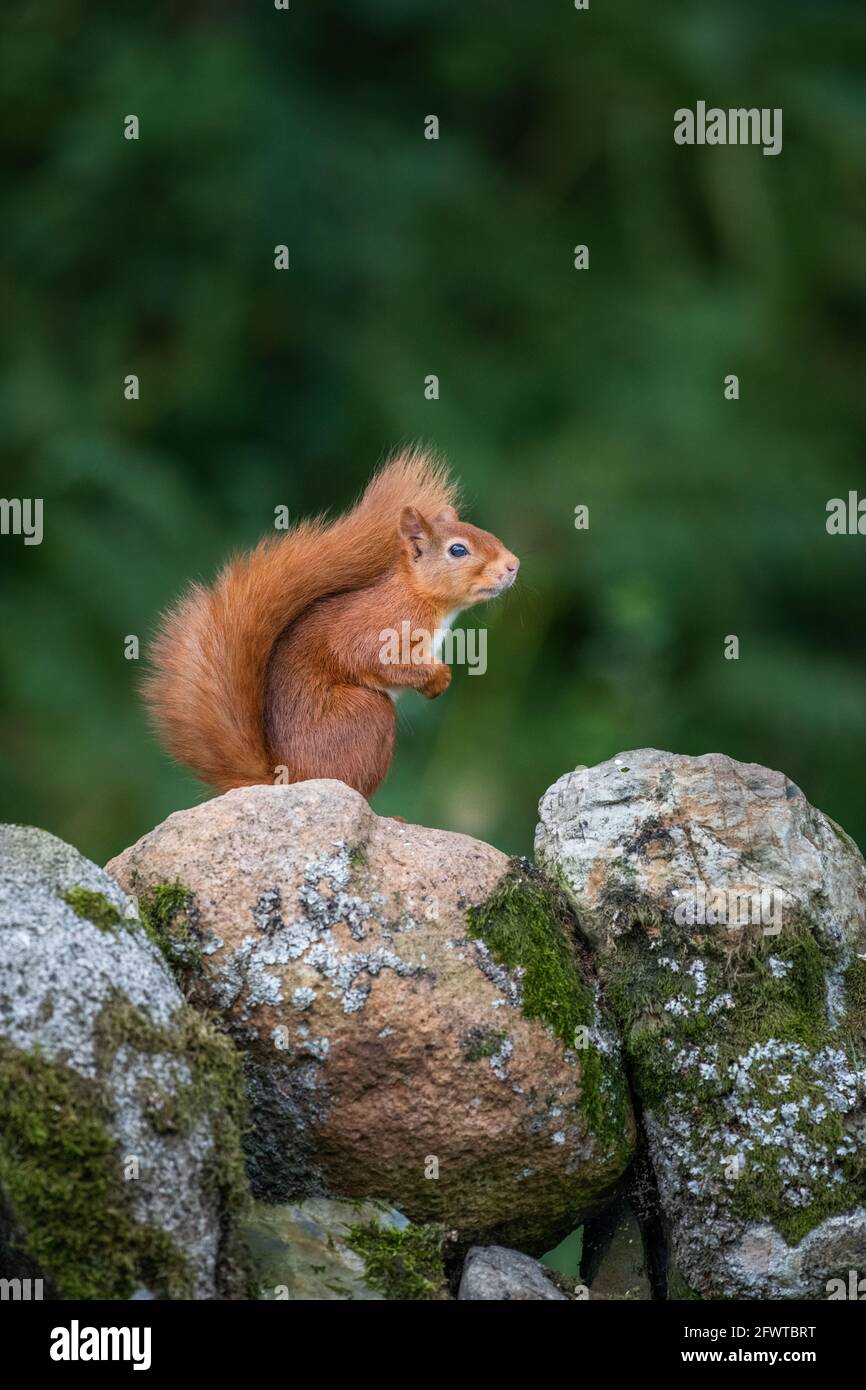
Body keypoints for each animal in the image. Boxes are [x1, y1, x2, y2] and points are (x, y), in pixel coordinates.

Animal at [145, 450, 517, 800]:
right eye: (458, 550)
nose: (513, 565)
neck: (419, 595)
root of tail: (287, 778)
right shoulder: (379, 627)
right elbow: (372, 658)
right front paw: (438, 677)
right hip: (366, 715)